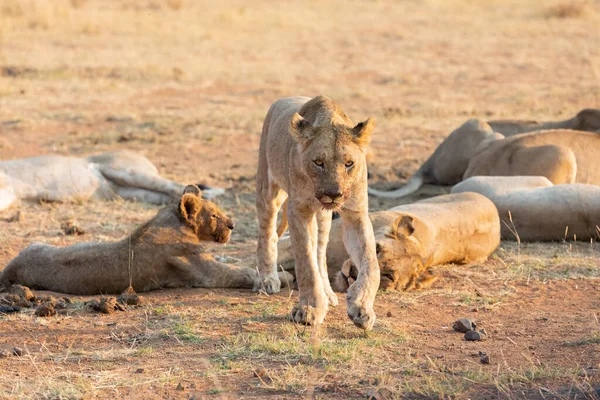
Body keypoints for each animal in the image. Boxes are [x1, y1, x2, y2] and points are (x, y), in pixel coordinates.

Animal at [0, 186, 290, 296]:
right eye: (214, 215)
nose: (232, 225)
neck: (174, 221)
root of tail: (8, 268)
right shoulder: (205, 273)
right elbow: (242, 271)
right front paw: (280, 279)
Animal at [254, 95, 380, 330]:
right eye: (318, 162)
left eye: (349, 163)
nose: (334, 194)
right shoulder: (298, 210)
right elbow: (306, 262)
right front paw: (309, 309)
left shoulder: (355, 214)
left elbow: (371, 264)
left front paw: (361, 307)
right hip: (268, 187)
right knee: (267, 234)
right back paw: (267, 279)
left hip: (323, 218)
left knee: (320, 252)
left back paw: (328, 294)